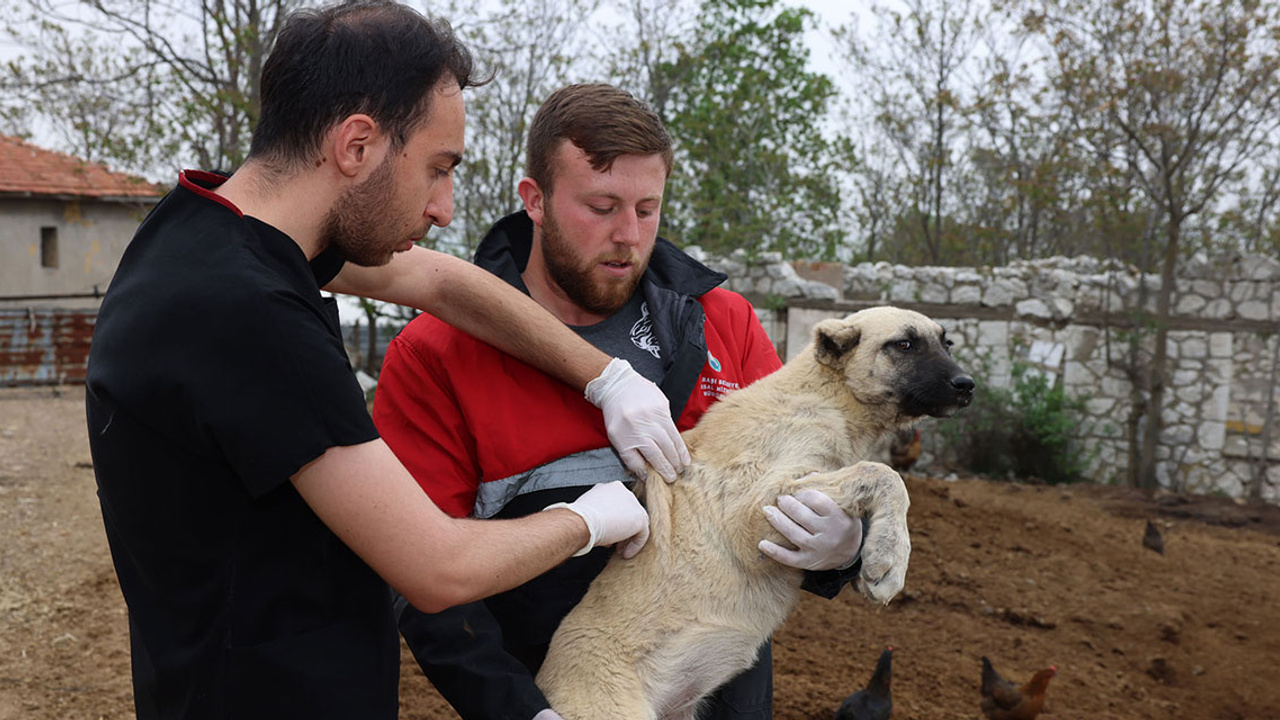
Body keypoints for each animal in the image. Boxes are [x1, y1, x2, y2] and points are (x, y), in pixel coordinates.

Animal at [537, 303, 967, 717]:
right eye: (904, 345)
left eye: (947, 342)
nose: (968, 386)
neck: (827, 397)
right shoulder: (749, 512)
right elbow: (883, 474)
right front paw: (888, 560)